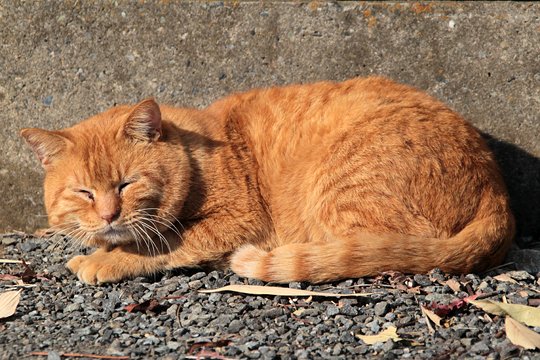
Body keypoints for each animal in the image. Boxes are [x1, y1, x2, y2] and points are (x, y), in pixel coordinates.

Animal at [20, 77, 516, 286]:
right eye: (84, 192)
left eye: (126, 185)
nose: (108, 215)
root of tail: (499, 190)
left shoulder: (236, 221)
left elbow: (162, 243)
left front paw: (104, 260)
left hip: (343, 194)